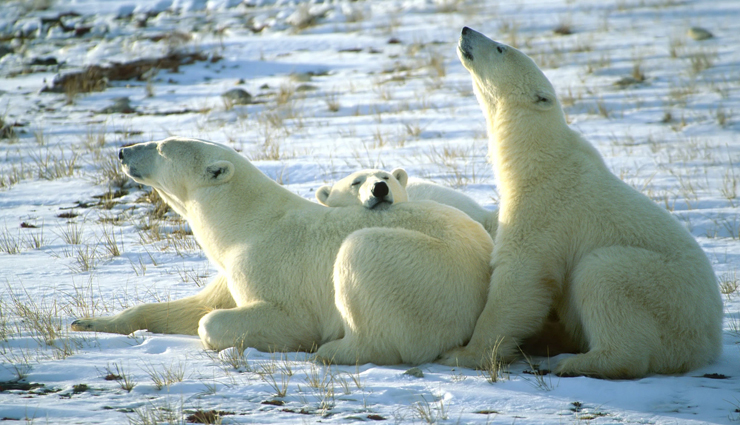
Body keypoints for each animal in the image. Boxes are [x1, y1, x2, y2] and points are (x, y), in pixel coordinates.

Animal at [438, 27, 723, 379]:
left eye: (501, 48)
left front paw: (461, 353)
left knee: (603, 276)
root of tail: (709, 343)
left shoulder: (545, 206)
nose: (466, 30)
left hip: (664, 296)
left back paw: (567, 361)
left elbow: (520, 276)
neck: (539, 159)